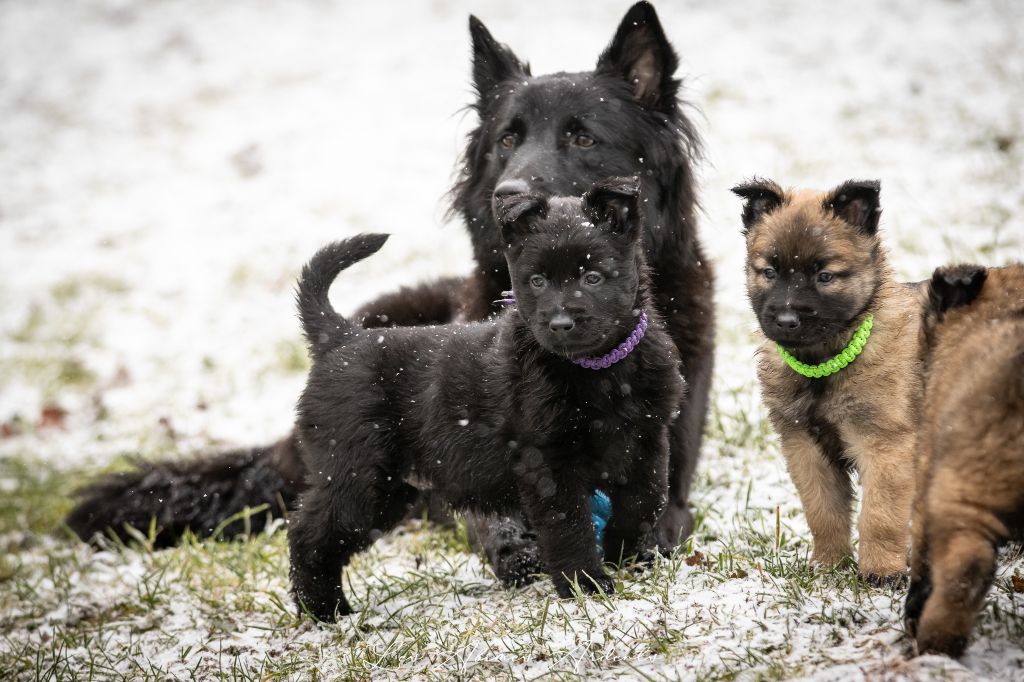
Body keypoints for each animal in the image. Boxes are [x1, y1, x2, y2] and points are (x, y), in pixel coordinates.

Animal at [288, 176, 684, 622]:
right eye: (537, 281)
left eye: (593, 278)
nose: (561, 323)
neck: (598, 371)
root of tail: (341, 337)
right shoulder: (549, 465)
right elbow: (570, 526)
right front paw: (586, 585)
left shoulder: (648, 439)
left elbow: (645, 499)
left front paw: (626, 551)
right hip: (356, 477)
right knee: (308, 535)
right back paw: (327, 612)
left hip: (389, 490)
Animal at [733, 179, 925, 577]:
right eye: (769, 272)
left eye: (825, 276)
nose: (786, 320)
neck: (825, 363)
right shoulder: (805, 448)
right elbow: (823, 512)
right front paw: (829, 565)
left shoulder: (886, 447)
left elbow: (880, 516)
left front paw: (881, 571)